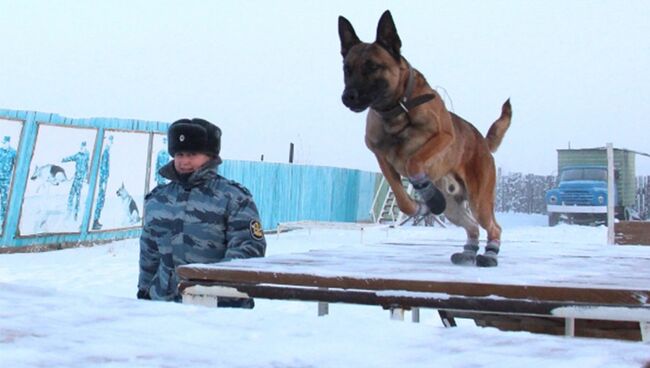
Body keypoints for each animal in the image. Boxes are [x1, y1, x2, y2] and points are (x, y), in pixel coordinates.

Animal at [336, 9, 508, 268]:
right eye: (347, 69)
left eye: (372, 66)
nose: (348, 97)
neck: (396, 112)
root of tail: (483, 143)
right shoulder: (381, 157)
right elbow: (402, 200)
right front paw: (421, 205)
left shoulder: (443, 137)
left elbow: (413, 161)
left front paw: (426, 191)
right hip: (454, 209)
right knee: (472, 226)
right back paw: (468, 251)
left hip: (480, 201)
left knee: (493, 226)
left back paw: (489, 254)